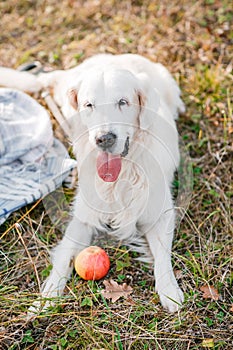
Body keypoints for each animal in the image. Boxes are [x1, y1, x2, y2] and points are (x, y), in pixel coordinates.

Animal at [0, 54, 186, 312]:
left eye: (123, 102)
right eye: (89, 105)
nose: (104, 139)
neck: (122, 175)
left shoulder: (159, 212)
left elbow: (162, 256)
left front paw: (169, 290)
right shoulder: (84, 218)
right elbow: (66, 254)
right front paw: (47, 296)